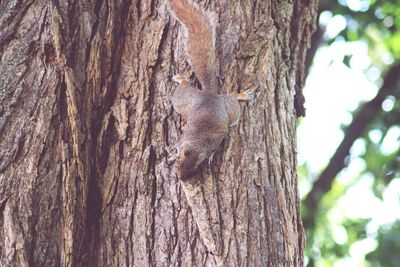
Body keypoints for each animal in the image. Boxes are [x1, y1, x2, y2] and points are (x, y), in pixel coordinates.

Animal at [169, 0, 253, 181]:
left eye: (194, 168)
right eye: (180, 162)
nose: (181, 177)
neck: (197, 141)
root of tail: (209, 94)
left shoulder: (216, 138)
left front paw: (211, 157)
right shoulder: (185, 137)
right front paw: (172, 153)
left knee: (232, 98)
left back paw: (242, 95)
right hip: (184, 101)